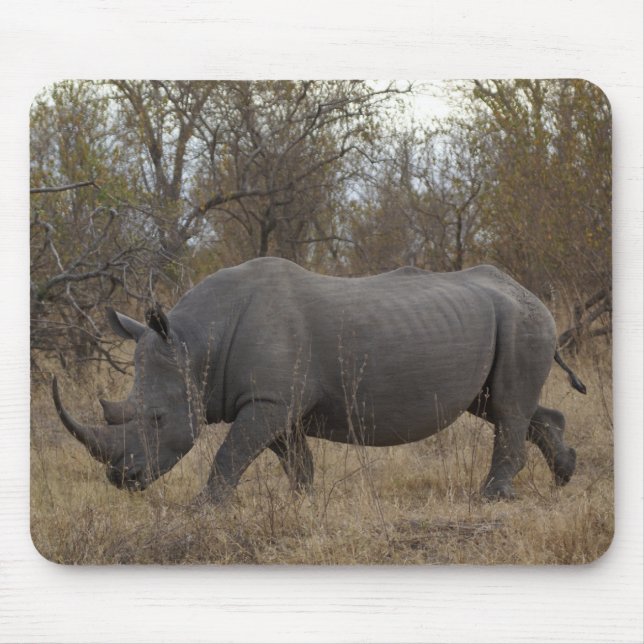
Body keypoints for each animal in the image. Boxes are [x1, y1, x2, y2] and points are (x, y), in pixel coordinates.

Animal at [53, 257, 585, 502]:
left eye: (159, 419)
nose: (122, 480)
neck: (197, 342)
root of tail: (526, 290)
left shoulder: (268, 400)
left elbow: (230, 454)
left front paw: (204, 508)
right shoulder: (272, 400)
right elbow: (292, 456)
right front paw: (302, 500)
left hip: (522, 319)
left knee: (508, 408)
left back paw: (492, 497)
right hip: (501, 321)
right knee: (499, 404)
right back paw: (564, 474)